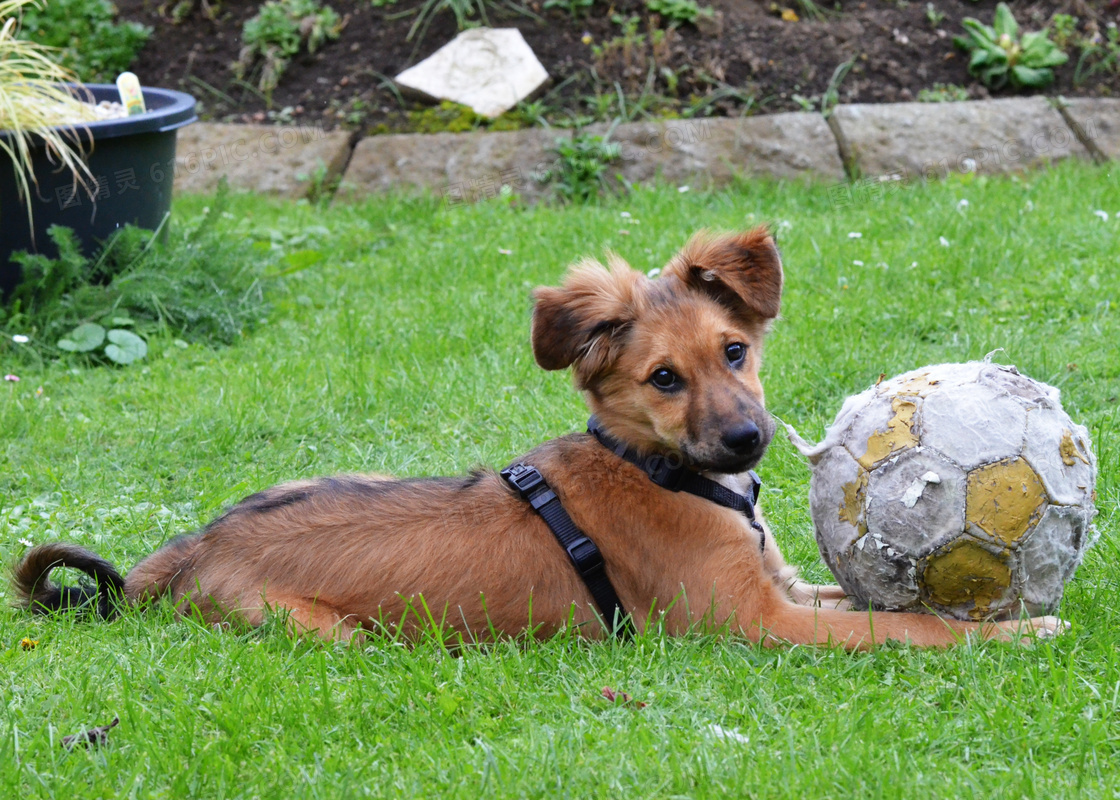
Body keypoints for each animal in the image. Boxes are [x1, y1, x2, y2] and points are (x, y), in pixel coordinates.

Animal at [17, 227, 1066, 645]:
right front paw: (1025, 630)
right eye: (663, 379)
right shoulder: (757, 624)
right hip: (327, 634)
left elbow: (878, 600)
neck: (661, 468)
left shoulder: (787, 591)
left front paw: (1001, 614)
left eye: (735, 350)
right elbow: (908, 624)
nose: (746, 441)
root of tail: (181, 555)